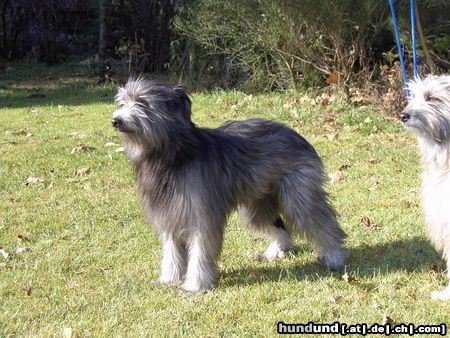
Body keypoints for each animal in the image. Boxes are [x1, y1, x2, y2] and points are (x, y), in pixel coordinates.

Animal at [110, 77, 346, 294]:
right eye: (122, 102)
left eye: (142, 102)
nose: (116, 121)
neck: (171, 155)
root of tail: (295, 134)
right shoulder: (169, 215)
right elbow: (171, 252)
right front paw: (168, 280)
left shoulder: (201, 216)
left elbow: (199, 251)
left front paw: (195, 285)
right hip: (257, 203)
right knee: (279, 226)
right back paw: (275, 252)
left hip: (299, 194)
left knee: (322, 223)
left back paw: (334, 256)